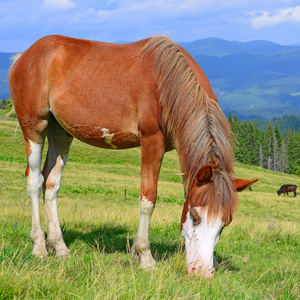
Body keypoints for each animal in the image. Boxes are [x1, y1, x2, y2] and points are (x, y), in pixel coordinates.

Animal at [9, 35, 258, 278]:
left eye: (225, 223)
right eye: (195, 216)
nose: (203, 272)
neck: (167, 84)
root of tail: (25, 56)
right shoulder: (151, 142)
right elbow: (148, 199)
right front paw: (145, 257)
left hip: (61, 132)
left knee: (51, 184)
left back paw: (60, 247)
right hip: (34, 127)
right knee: (34, 181)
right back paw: (39, 246)